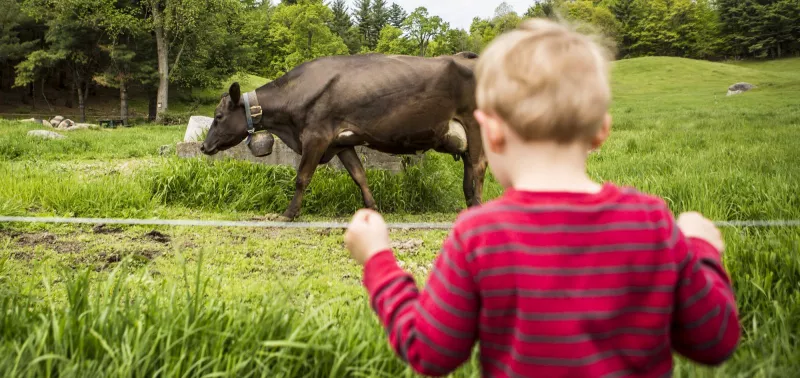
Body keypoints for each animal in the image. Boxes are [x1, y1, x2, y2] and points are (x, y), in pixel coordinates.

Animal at [200, 51, 488, 221]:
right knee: (468, 171)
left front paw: (289, 213)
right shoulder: (341, 142)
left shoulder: (315, 136)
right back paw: (469, 206)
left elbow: (302, 177)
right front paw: (372, 207)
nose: (203, 146)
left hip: (475, 125)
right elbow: (359, 175)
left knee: (478, 167)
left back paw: (478, 207)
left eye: (218, 116)